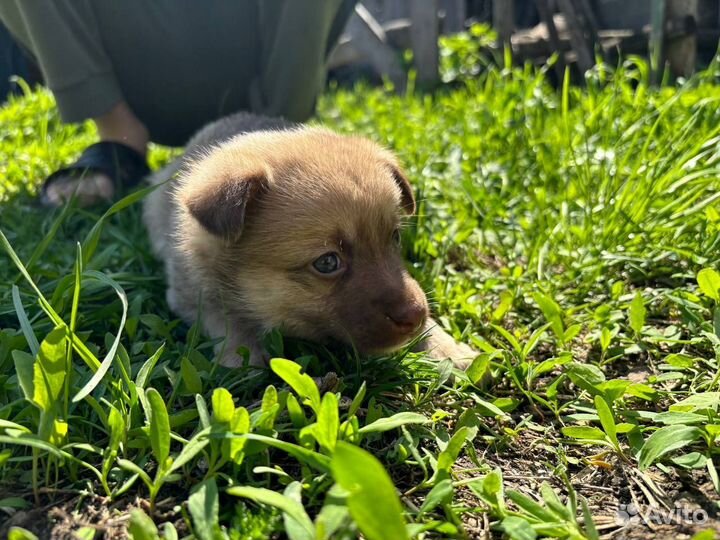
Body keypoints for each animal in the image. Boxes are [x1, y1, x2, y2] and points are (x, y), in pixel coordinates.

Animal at [143, 112, 476, 370]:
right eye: (327, 262)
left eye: (394, 237)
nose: (415, 315)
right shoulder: (188, 293)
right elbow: (222, 316)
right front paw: (242, 354)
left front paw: (447, 347)